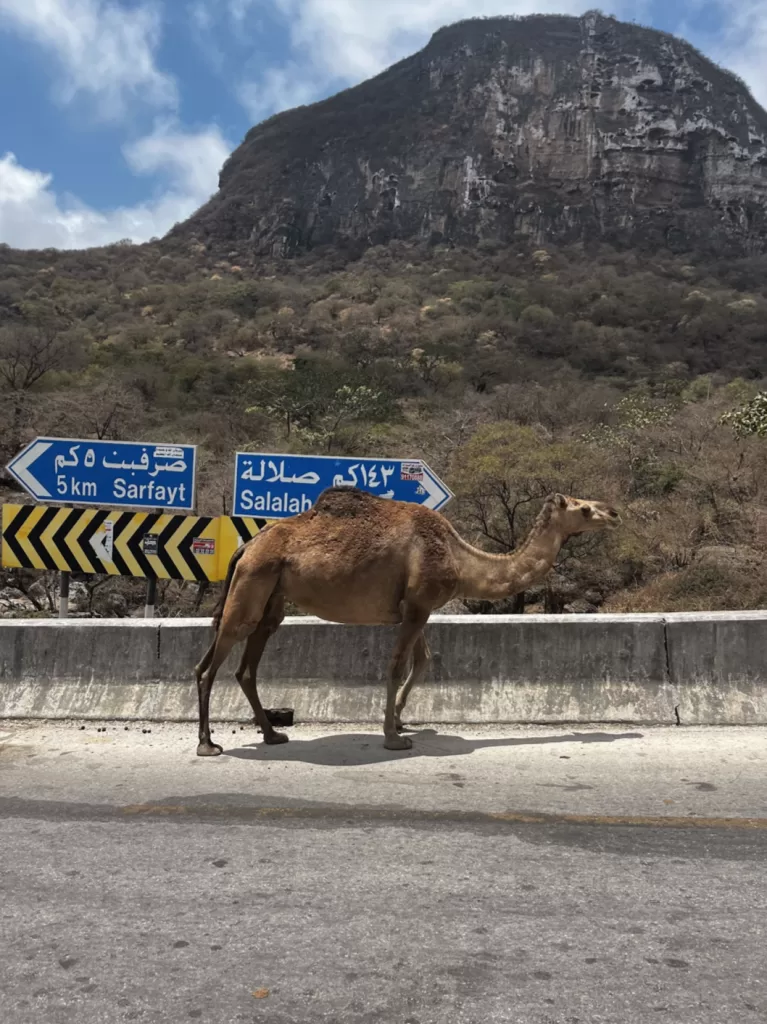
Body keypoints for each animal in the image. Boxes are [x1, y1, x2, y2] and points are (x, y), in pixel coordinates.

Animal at [194, 486, 620, 756]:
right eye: (583, 508)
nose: (614, 512)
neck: (460, 558)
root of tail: (246, 546)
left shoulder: (416, 607)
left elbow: (423, 662)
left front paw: (399, 722)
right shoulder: (417, 606)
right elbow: (398, 665)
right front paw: (393, 737)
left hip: (272, 598)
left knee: (245, 667)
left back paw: (272, 735)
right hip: (252, 584)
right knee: (210, 665)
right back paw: (208, 744)